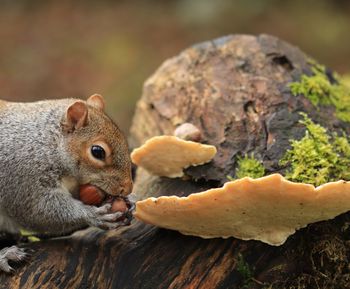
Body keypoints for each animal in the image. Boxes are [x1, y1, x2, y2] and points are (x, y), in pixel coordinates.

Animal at [0, 93, 133, 272]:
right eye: (97, 151)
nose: (127, 188)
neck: (49, 143)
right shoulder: (22, 178)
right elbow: (37, 211)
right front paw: (93, 215)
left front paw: (129, 202)